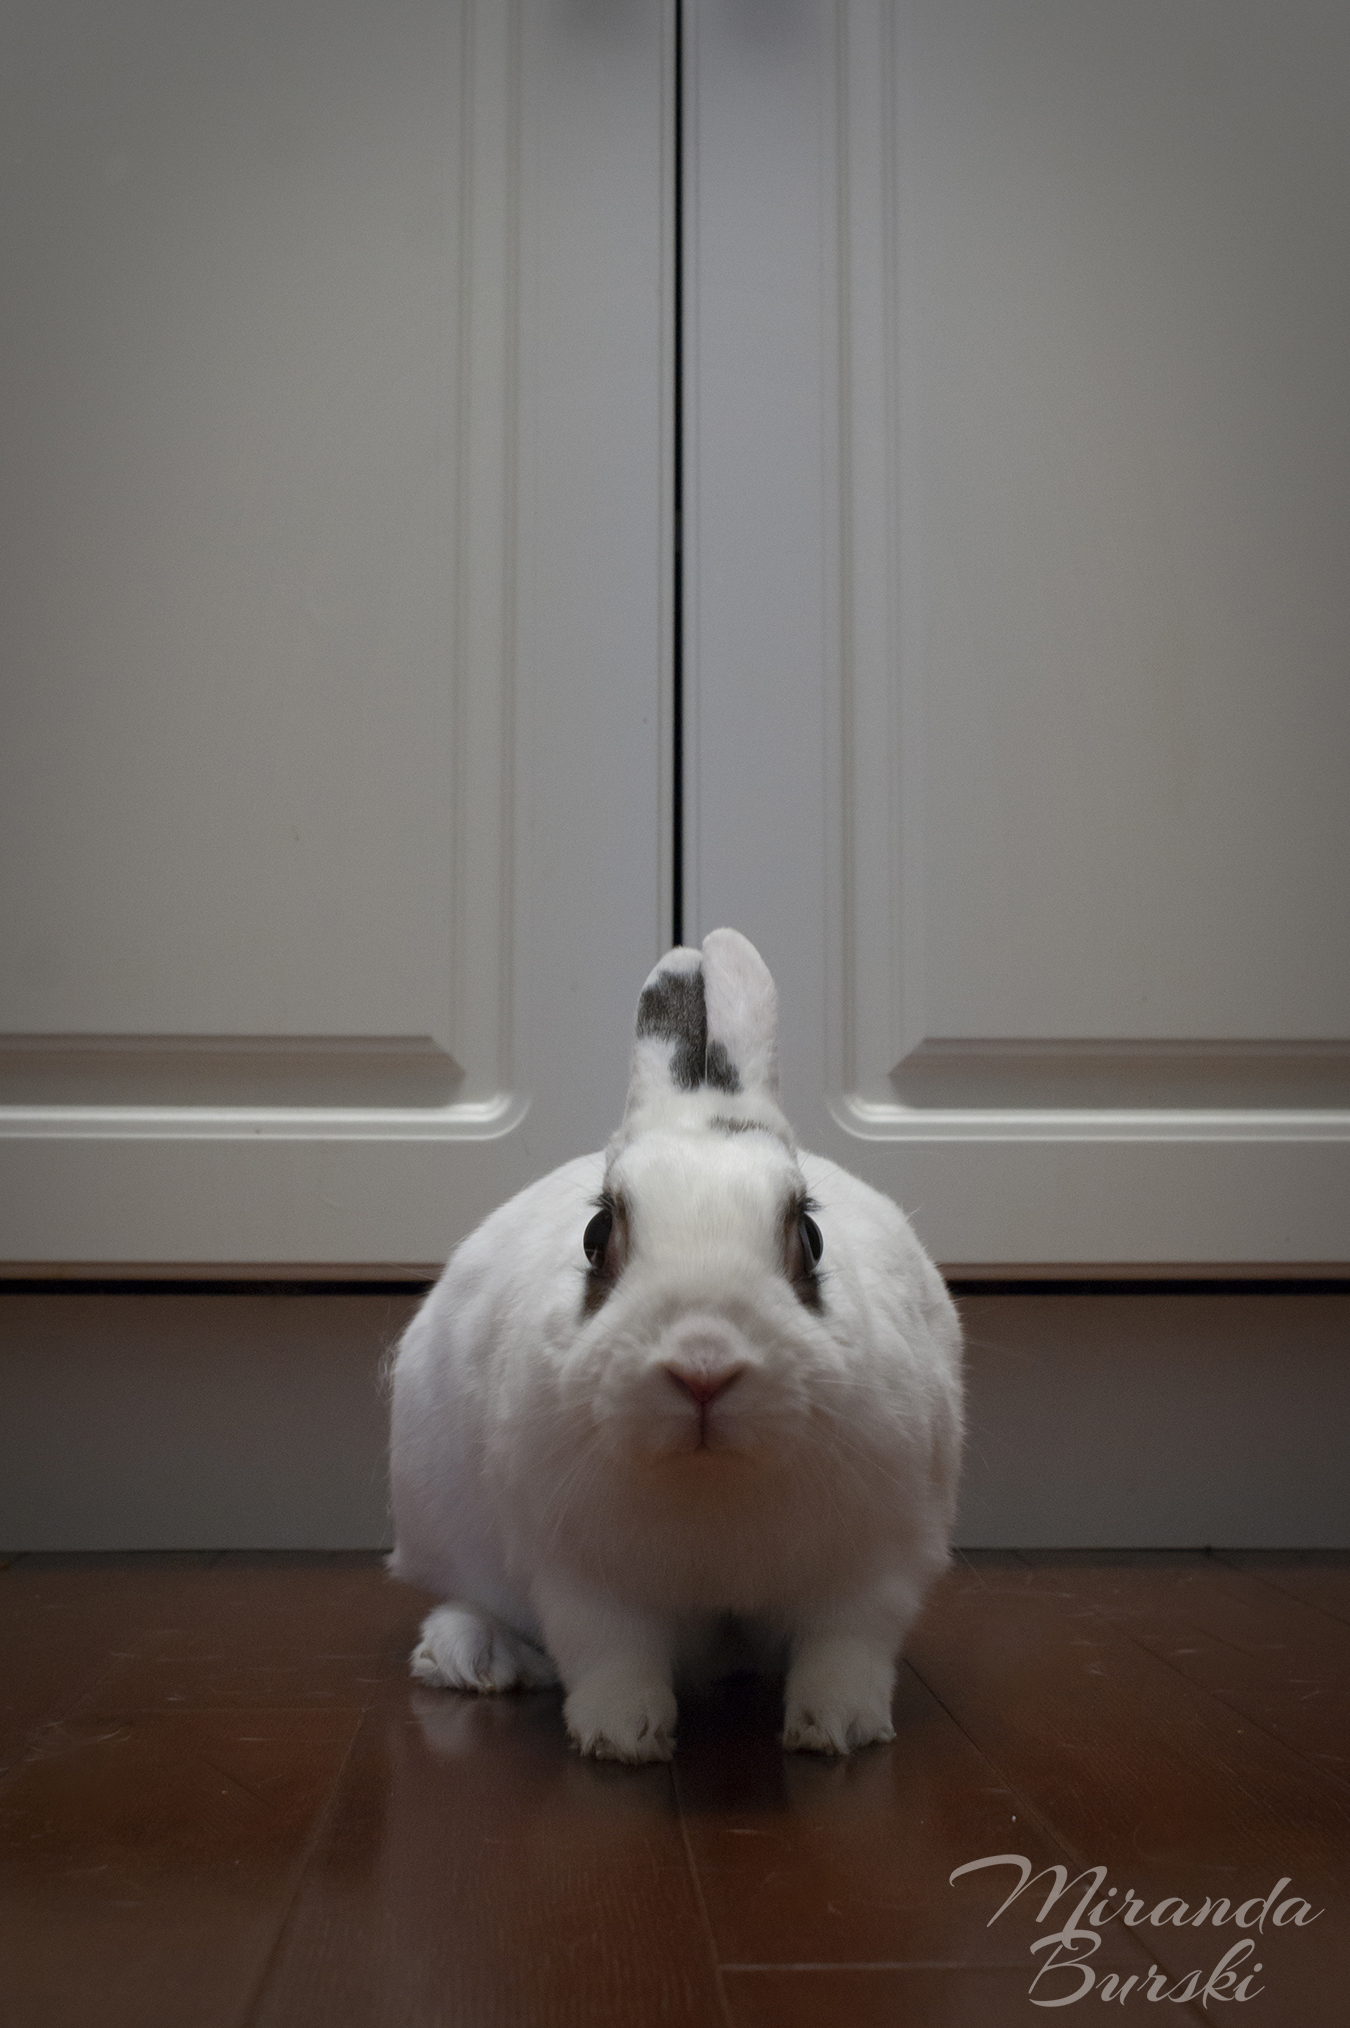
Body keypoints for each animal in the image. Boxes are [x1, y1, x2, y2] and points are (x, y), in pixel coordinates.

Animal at [389, 928, 963, 1762]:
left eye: (811, 1238)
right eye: (596, 1236)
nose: (703, 1367)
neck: (710, 1483)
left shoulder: (874, 1572)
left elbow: (845, 1652)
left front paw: (839, 1730)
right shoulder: (582, 1581)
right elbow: (612, 1657)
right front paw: (621, 1738)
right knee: (472, 1597)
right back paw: (471, 1655)